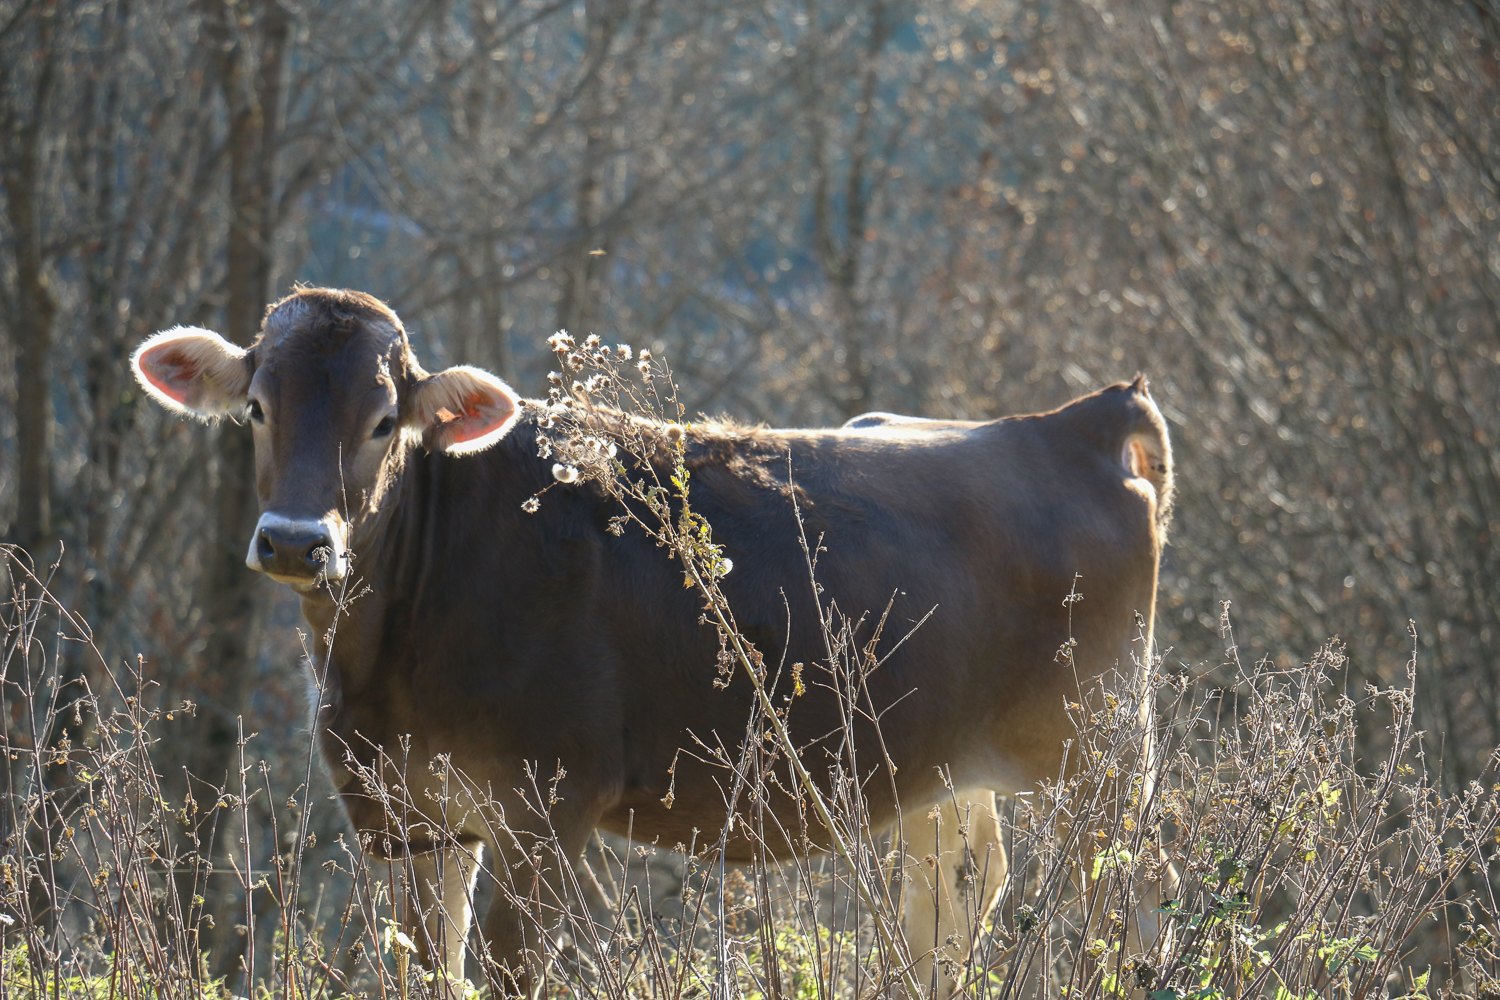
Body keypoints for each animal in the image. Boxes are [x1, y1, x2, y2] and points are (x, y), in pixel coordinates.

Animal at [132, 284, 1170, 995]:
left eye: (386, 420)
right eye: (257, 407)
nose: (295, 540)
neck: (385, 658)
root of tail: (1069, 422)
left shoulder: (546, 808)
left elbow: (509, 971)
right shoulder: (402, 813)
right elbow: (425, 968)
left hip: (1102, 748)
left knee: (1126, 893)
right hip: (946, 766)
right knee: (953, 894)